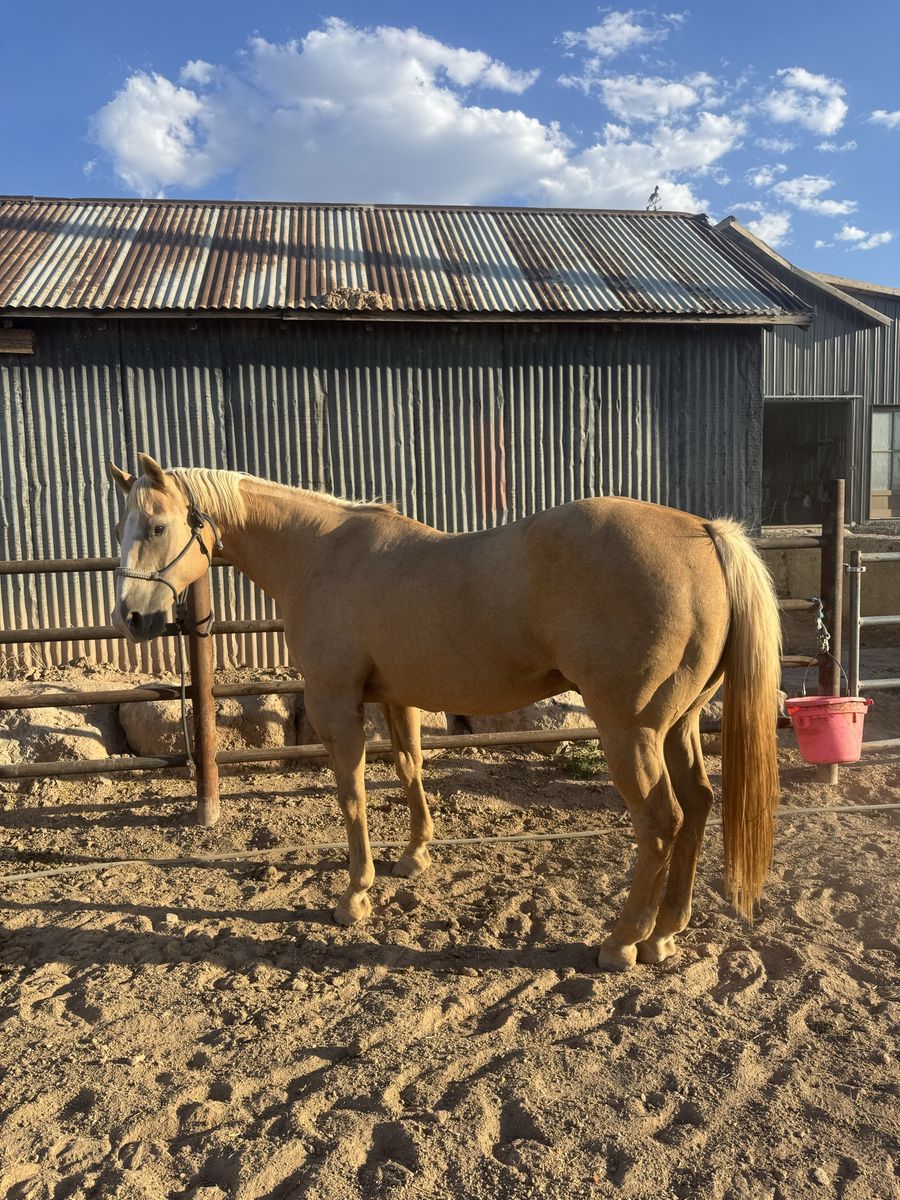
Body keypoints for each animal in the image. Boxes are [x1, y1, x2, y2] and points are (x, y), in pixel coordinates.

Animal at [109, 453, 782, 972]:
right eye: (124, 527)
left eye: (156, 526)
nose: (133, 618)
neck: (324, 555)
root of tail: (704, 531)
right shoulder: (396, 698)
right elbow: (410, 770)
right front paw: (413, 857)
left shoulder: (334, 701)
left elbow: (352, 793)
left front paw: (355, 895)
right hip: (679, 725)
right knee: (698, 805)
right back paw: (666, 930)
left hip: (631, 730)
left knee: (661, 821)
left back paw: (622, 942)